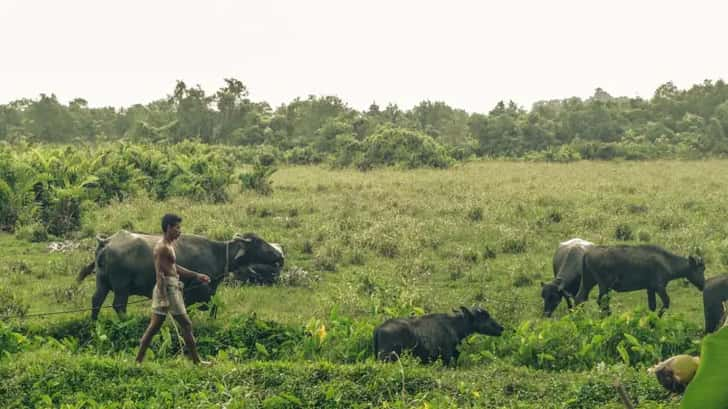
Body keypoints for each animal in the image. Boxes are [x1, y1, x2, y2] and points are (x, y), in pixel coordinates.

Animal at [77, 230, 284, 318]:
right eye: (260, 243)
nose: (279, 255)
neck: (216, 253)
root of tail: (107, 242)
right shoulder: (197, 291)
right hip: (122, 286)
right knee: (119, 305)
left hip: (102, 282)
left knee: (96, 301)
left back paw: (94, 322)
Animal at [576, 244, 704, 314]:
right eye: (701, 269)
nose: (703, 285)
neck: (667, 262)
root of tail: (587, 253)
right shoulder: (659, 287)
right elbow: (666, 303)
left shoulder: (650, 289)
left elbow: (652, 307)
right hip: (604, 285)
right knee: (602, 302)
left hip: (589, 282)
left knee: (580, 299)